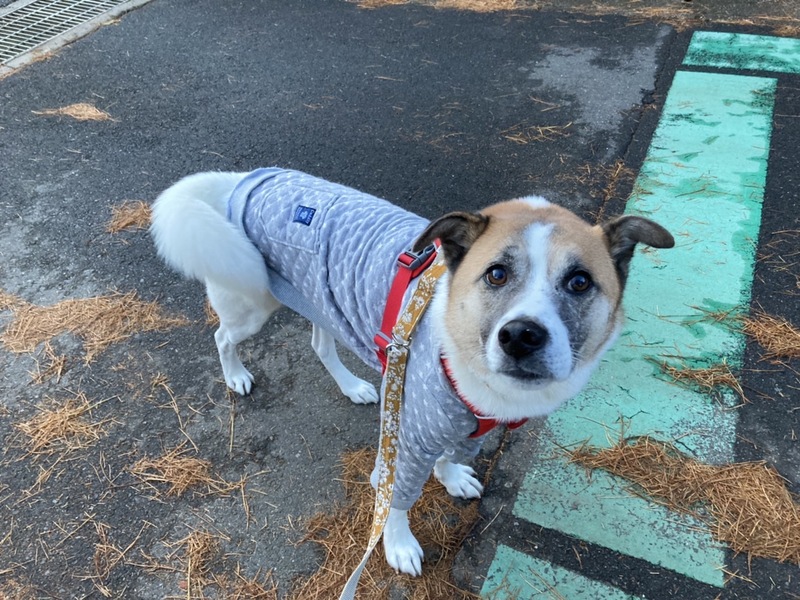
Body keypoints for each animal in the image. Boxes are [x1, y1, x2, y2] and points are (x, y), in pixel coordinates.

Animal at [150, 168, 674, 576]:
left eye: (580, 282)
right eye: (497, 274)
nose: (521, 336)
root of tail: (244, 178)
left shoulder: (466, 426)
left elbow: (450, 455)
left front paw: (452, 476)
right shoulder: (408, 437)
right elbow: (397, 498)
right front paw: (398, 545)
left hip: (320, 302)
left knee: (319, 343)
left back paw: (354, 386)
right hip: (249, 299)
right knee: (222, 337)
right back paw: (236, 375)